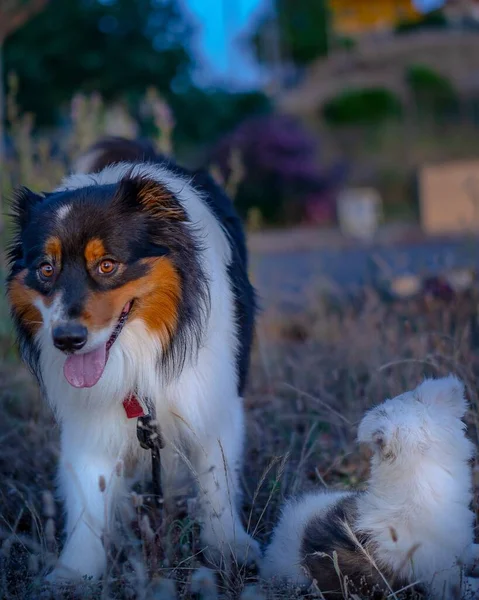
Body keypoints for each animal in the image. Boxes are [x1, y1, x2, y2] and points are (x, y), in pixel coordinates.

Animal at [5, 137, 260, 580]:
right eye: (46, 269)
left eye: (107, 265)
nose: (66, 340)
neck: (137, 353)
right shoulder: (89, 420)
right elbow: (89, 493)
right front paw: (77, 571)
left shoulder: (212, 399)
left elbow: (217, 478)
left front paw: (228, 546)